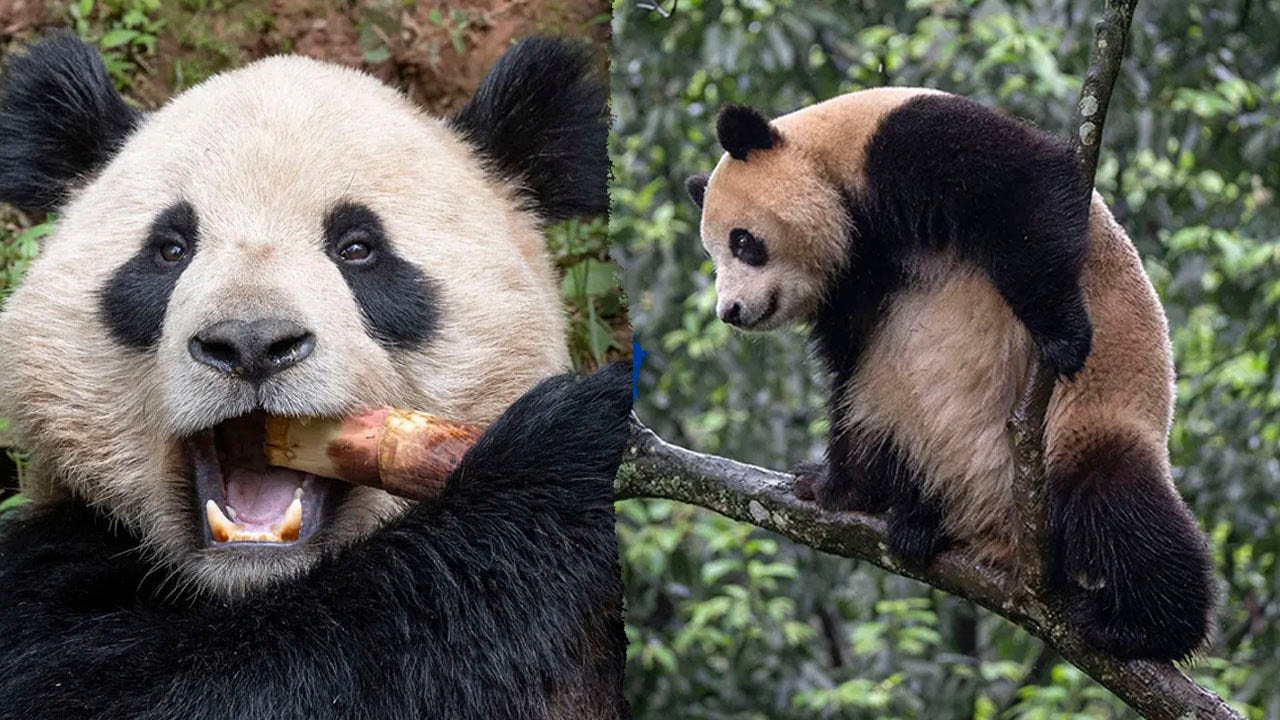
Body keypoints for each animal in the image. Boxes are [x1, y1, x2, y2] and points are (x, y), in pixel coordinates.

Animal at [0, 30, 629, 712]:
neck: (255, 584)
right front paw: (567, 452)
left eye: (358, 248)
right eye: (169, 250)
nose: (250, 342)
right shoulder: (52, 570)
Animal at [686, 90, 1213, 661]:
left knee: (1121, 504)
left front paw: (1063, 334)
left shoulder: (903, 144)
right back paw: (914, 519)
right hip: (916, 431)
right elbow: (848, 377)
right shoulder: (854, 285)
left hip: (1085, 422)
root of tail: (1004, 540)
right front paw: (831, 485)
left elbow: (1025, 190)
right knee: (887, 423)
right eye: (713, 256)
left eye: (743, 242)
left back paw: (1140, 626)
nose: (731, 311)